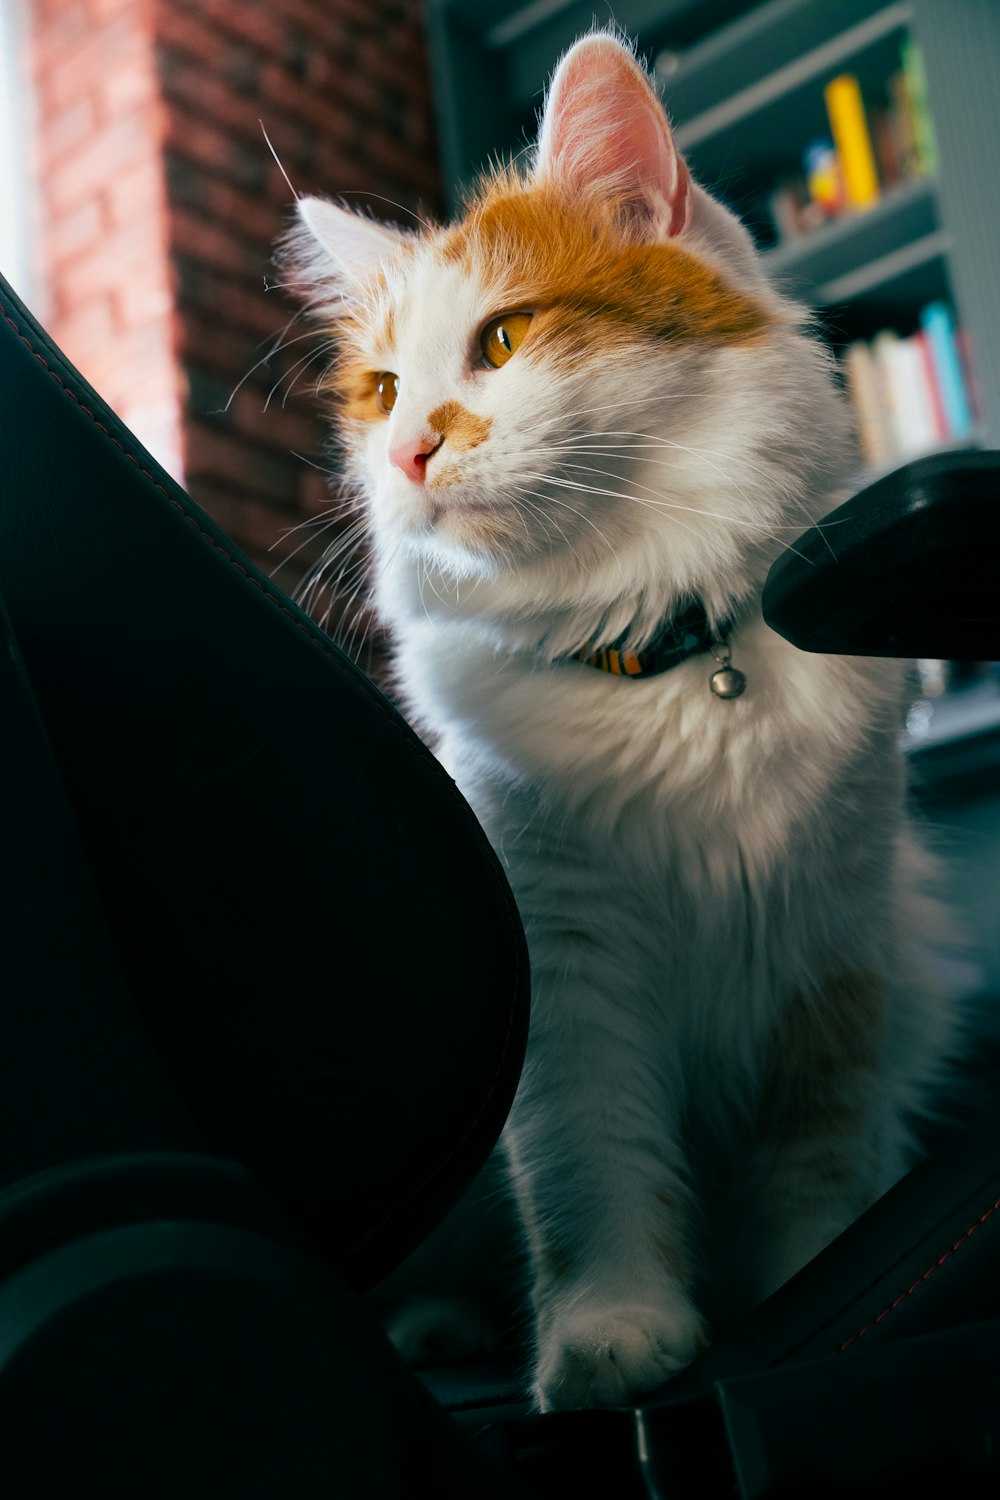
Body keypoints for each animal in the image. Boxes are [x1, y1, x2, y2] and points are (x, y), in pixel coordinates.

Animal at [287, 35, 953, 1410]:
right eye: (381, 391)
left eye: (504, 338)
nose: (410, 453)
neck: (663, 653)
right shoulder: (567, 970)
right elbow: (587, 1169)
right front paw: (613, 1336)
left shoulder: (832, 962)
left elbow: (818, 1185)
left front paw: (818, 1301)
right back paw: (437, 1330)